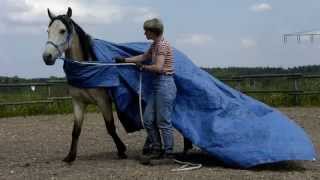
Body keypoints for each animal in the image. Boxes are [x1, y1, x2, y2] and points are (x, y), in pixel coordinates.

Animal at [42, 7, 127, 162]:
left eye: (62, 30)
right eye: (48, 31)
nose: (47, 57)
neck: (87, 69)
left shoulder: (103, 101)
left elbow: (110, 127)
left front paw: (121, 150)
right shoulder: (78, 103)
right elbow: (75, 130)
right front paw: (70, 156)